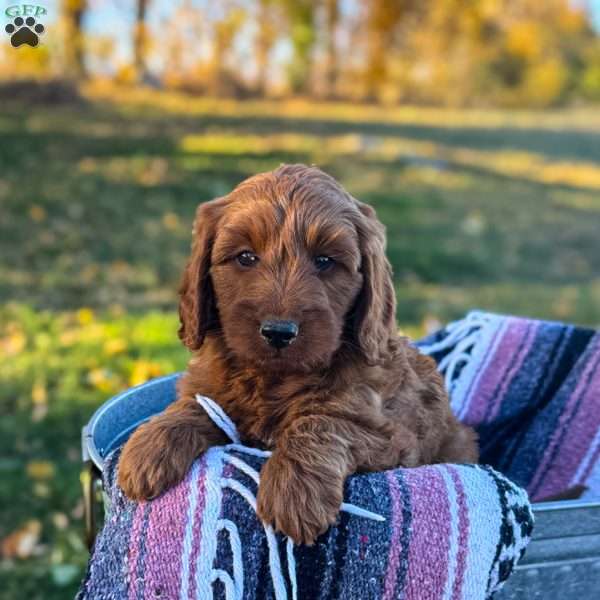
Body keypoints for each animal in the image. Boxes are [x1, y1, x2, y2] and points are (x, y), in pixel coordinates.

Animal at [119, 163, 478, 544]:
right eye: (245, 257)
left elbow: (321, 421)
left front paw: (294, 492)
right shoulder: (212, 388)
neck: (273, 379)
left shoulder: (393, 437)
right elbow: (199, 404)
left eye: (325, 261)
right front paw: (150, 446)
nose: (279, 332)